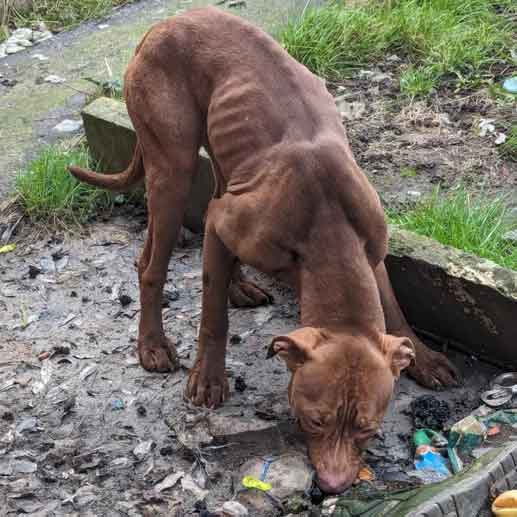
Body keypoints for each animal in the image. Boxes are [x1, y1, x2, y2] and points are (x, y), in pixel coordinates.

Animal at [70, 8, 458, 492]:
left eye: (367, 428)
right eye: (313, 420)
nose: (333, 485)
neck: (330, 232)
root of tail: (164, 23)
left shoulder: (372, 252)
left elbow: (395, 309)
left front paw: (422, 358)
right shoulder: (231, 225)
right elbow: (212, 317)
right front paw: (208, 379)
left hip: (225, 158)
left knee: (214, 215)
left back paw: (238, 286)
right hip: (172, 171)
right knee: (151, 264)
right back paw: (153, 344)